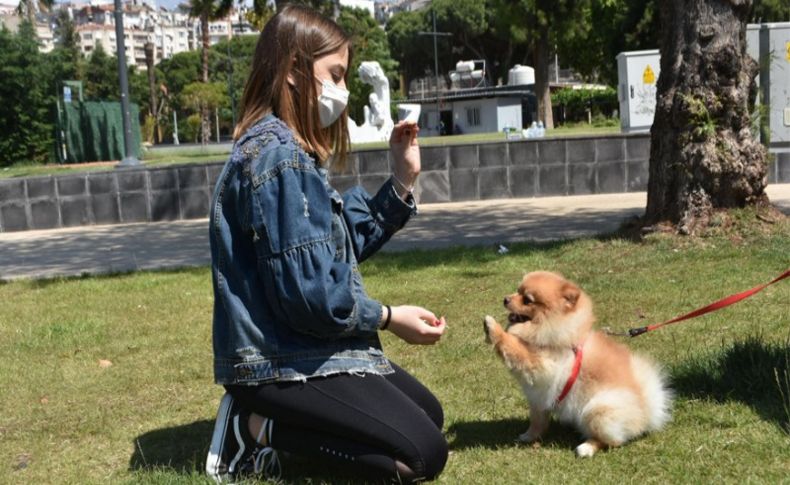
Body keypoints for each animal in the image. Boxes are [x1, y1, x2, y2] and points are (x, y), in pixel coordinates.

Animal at [482, 270, 676, 456]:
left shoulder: (542, 363)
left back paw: (587, 447)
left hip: (598, 410)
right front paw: (529, 436)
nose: (506, 299)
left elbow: (513, 347)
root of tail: (648, 411)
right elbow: (538, 421)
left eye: (527, 300)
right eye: (517, 291)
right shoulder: (539, 396)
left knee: (612, 441)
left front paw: (492, 327)